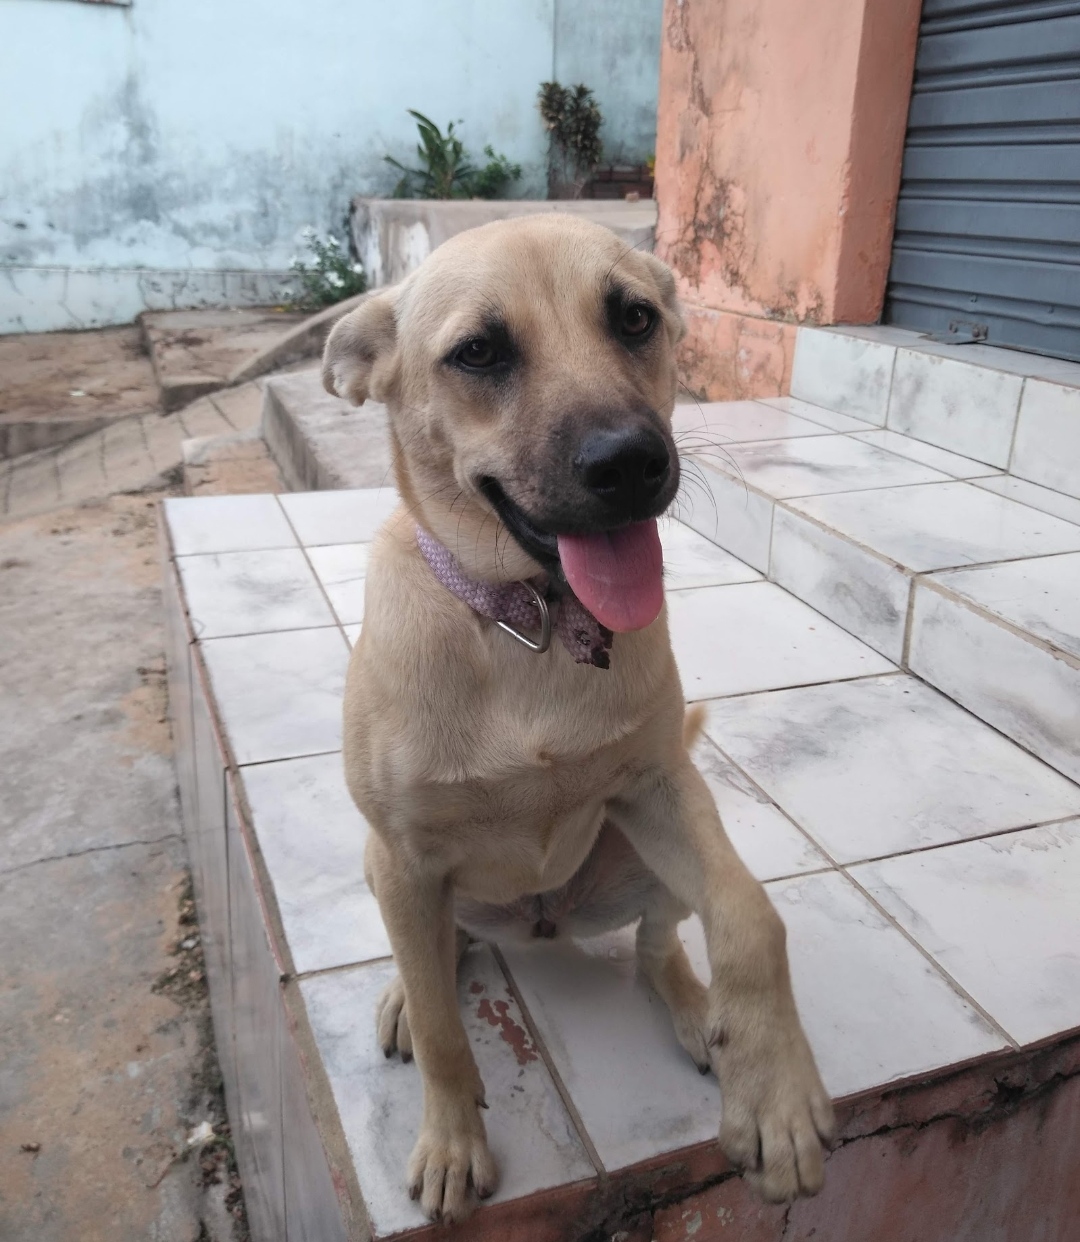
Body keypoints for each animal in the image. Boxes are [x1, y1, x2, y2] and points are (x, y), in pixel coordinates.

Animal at [322, 213, 839, 1222]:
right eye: (478, 352)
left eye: (634, 317)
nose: (632, 463)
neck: (530, 628)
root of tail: (544, 923)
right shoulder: (402, 853)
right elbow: (444, 1034)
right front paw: (453, 1143)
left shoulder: (665, 788)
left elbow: (751, 914)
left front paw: (779, 1093)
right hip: (384, 869)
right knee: (435, 953)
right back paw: (412, 986)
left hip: (641, 854)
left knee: (657, 942)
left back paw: (697, 1011)